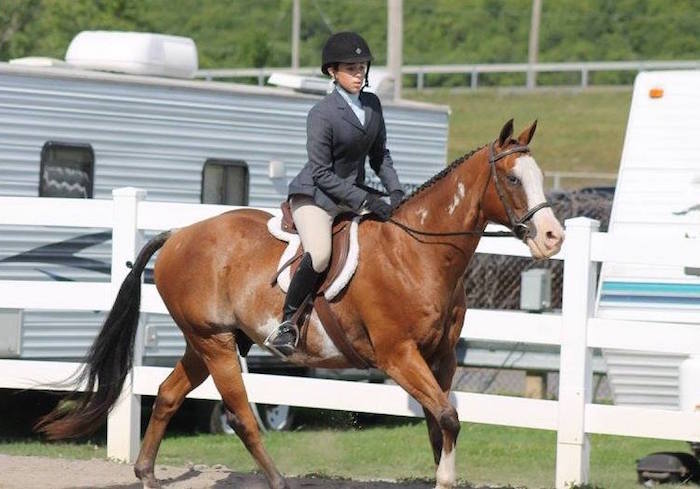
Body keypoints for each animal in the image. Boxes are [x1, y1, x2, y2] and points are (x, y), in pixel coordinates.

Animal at [37, 119, 564, 488]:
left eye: (538, 176)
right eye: (513, 180)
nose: (553, 237)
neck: (418, 253)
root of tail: (179, 234)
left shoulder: (442, 358)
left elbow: (441, 423)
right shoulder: (398, 356)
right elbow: (448, 417)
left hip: (212, 341)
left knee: (167, 394)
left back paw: (147, 473)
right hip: (215, 344)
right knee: (242, 417)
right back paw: (275, 479)